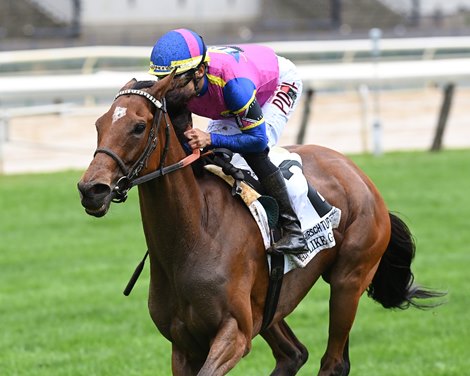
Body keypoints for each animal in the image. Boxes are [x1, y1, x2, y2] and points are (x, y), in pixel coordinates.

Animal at [77, 74, 440, 376]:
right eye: (98, 124)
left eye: (138, 127)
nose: (91, 189)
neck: (194, 234)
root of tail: (358, 174)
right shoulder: (182, 345)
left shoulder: (234, 333)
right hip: (270, 304)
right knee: (294, 354)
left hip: (348, 281)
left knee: (333, 362)